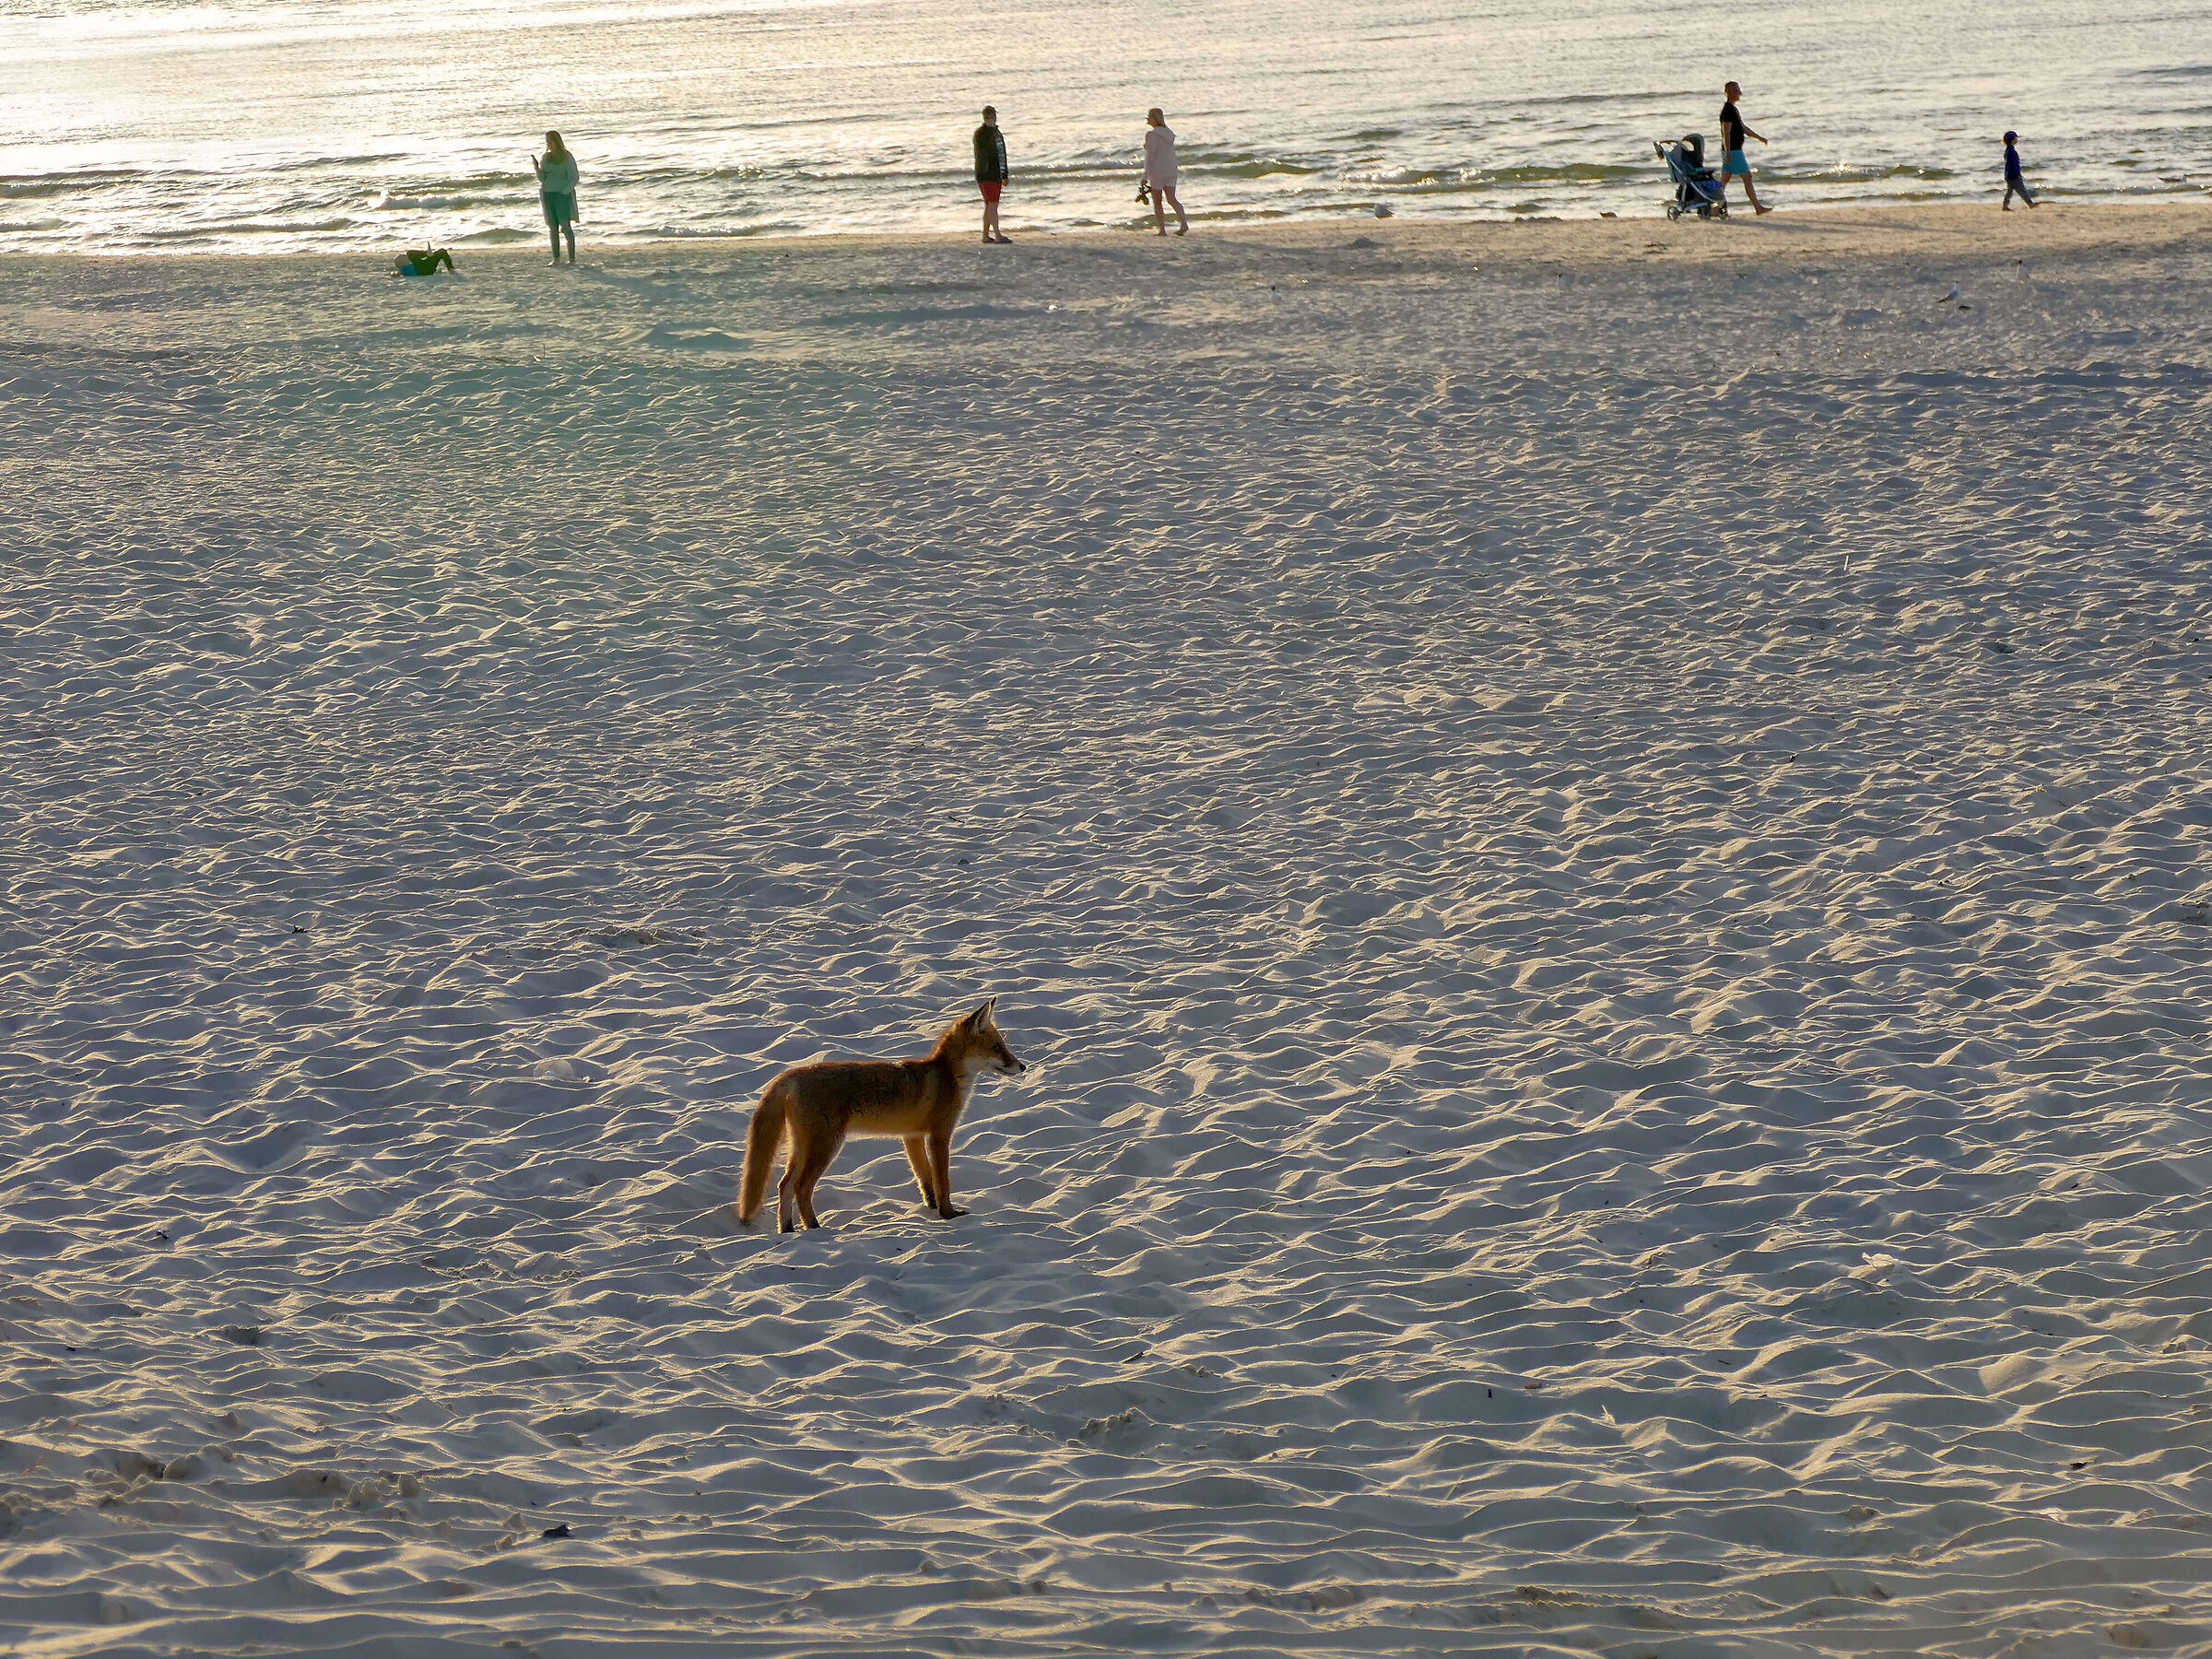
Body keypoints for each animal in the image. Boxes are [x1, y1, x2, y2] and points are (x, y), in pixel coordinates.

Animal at [737, 999, 1028, 1232]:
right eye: (998, 1048)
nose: (1023, 1066)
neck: (947, 1076)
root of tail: (792, 1074)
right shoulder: (939, 1135)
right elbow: (942, 1180)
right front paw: (948, 1214)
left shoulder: (912, 1137)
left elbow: (925, 1178)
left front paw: (931, 1207)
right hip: (826, 1147)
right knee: (800, 1188)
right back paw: (814, 1228)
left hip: (802, 1148)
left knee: (783, 1185)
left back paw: (787, 1229)